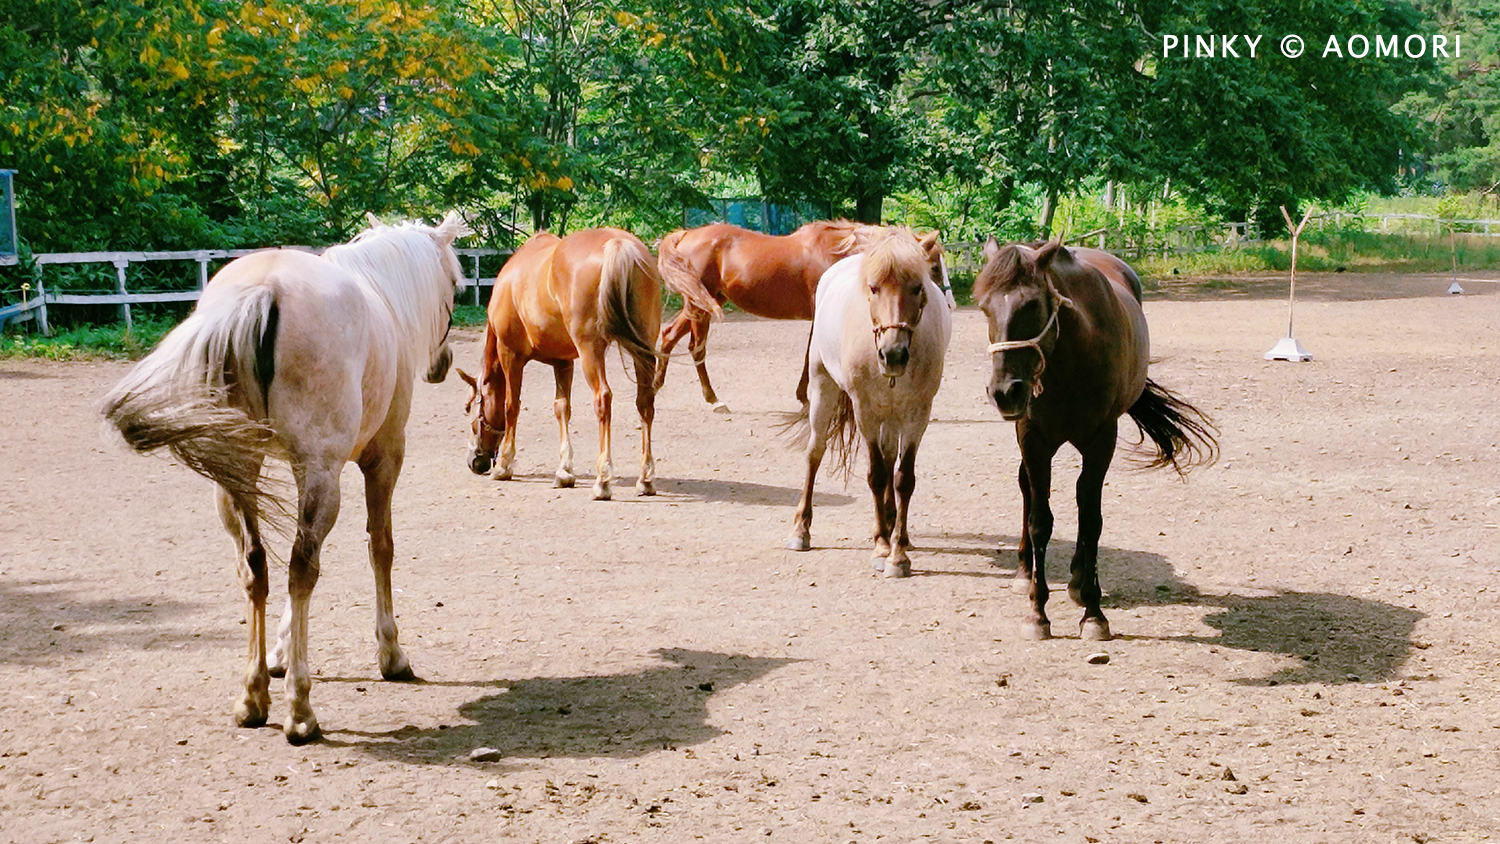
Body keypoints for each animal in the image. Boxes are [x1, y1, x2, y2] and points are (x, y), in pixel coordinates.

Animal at [102, 212, 468, 746]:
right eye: (456, 287)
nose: (442, 366)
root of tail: (263, 290)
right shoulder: (383, 459)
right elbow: (380, 548)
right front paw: (390, 653)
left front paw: (278, 652)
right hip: (318, 475)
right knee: (301, 568)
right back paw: (300, 709)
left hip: (236, 472)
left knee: (257, 567)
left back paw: (253, 696)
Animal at [456, 227, 663, 497]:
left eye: (469, 407)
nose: (475, 461)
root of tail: (618, 244)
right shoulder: (563, 362)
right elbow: (562, 408)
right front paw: (564, 471)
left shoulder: (510, 354)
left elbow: (512, 406)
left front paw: (504, 465)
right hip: (642, 349)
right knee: (645, 402)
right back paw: (645, 479)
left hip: (591, 351)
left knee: (603, 399)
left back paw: (602, 481)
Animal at [654, 221, 954, 413]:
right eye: (933, 266)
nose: (949, 302)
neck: (834, 252)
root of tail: (686, 235)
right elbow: (812, 353)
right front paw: (806, 396)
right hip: (700, 306)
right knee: (696, 347)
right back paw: (713, 399)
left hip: (706, 302)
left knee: (668, 337)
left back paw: (656, 388)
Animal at [786, 227, 948, 578]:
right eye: (873, 288)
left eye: (918, 287)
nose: (893, 354)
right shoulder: (866, 411)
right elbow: (876, 475)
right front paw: (883, 546)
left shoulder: (917, 414)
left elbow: (902, 478)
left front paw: (898, 553)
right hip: (822, 387)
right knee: (815, 452)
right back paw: (801, 530)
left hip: (892, 413)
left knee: (888, 459)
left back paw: (890, 520)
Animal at [972, 241, 1218, 644]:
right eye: (983, 306)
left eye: (1033, 304)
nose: (1005, 392)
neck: (1069, 359)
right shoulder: (1033, 439)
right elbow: (1040, 519)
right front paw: (1037, 613)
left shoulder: (1101, 439)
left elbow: (1090, 519)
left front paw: (1093, 611)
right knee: (1027, 489)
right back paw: (1026, 570)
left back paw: (1076, 578)